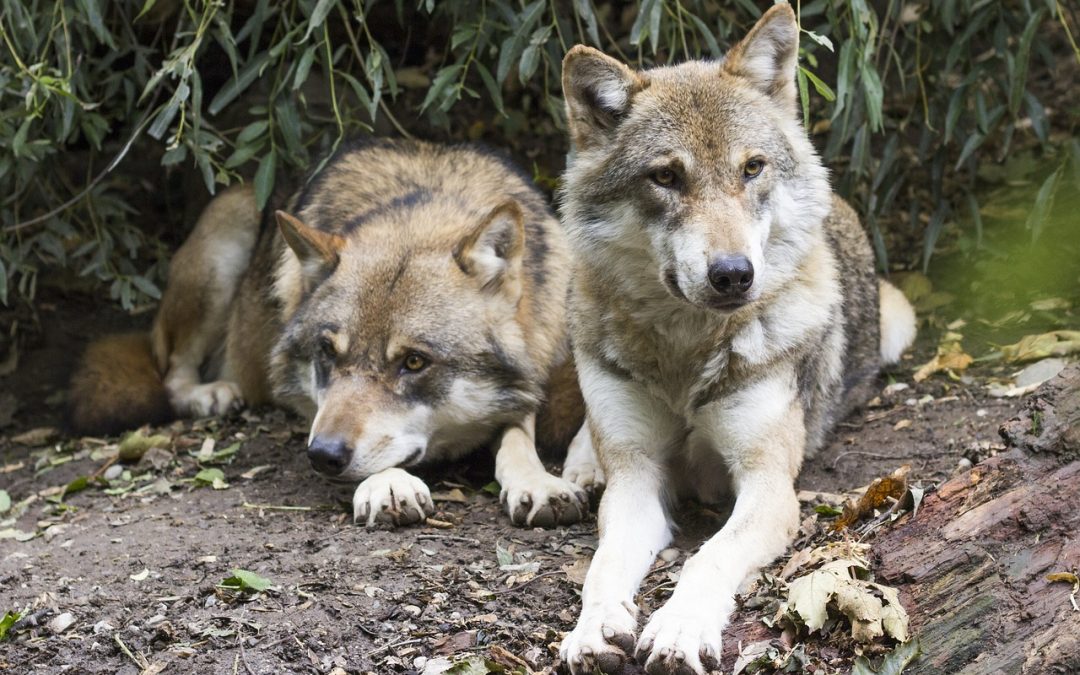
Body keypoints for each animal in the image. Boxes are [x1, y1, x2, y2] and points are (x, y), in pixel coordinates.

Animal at [70, 137, 604, 527]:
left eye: (413, 362)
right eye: (327, 353)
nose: (322, 456)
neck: (424, 206)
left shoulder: (542, 368)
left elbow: (521, 431)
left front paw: (539, 481)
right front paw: (389, 483)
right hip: (224, 242)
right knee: (170, 370)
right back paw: (211, 394)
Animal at [552, 5, 915, 673]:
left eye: (751, 168)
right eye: (666, 176)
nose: (732, 274)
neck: (684, 353)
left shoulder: (769, 486)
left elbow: (707, 557)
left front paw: (678, 628)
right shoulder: (637, 479)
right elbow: (603, 566)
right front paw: (592, 631)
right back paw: (580, 472)